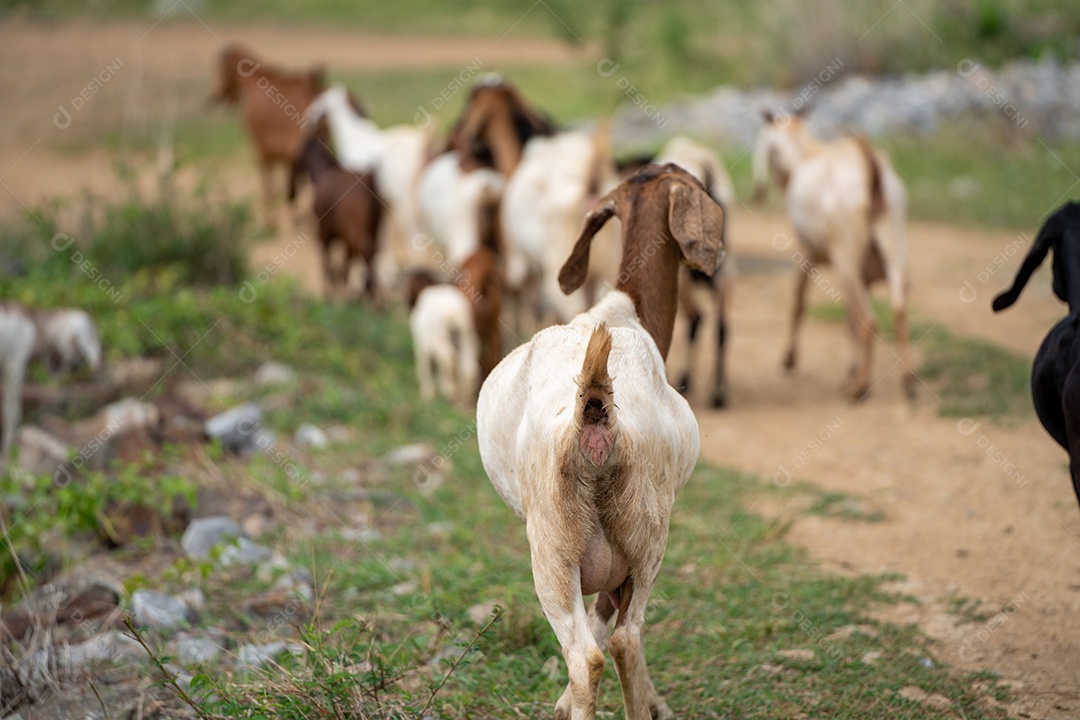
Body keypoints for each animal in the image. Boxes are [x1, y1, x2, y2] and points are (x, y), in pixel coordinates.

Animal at [207, 43, 321, 213]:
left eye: (220, 68)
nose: (217, 96)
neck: (253, 83)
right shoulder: (279, 154)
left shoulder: (261, 149)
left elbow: (268, 187)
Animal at [479, 165, 725, 720]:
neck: (624, 311)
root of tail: (594, 410)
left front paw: (560, 705)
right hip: (635, 538)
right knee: (618, 643)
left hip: (566, 547)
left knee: (594, 649)